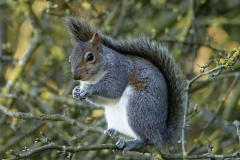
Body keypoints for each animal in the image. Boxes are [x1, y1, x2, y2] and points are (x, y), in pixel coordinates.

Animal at [63, 15, 186, 154]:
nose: (76, 76)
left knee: (146, 139)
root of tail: (160, 133)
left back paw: (132, 143)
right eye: (70, 60)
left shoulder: (120, 72)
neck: (94, 77)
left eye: (90, 57)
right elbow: (101, 101)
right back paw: (115, 131)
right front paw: (76, 91)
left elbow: (112, 89)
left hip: (139, 106)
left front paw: (90, 89)